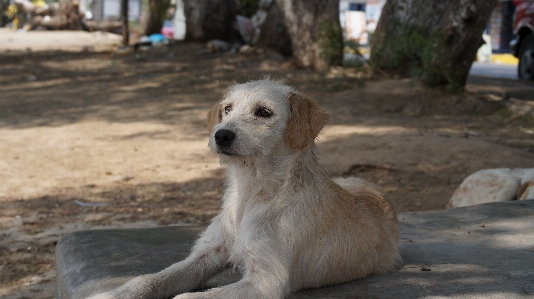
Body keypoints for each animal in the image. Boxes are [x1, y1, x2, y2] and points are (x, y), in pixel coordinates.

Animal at [88, 80, 400, 299]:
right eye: (227, 108)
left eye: (263, 112)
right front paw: (110, 293)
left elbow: (190, 297)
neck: (252, 192)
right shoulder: (206, 255)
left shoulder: (265, 282)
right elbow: (149, 279)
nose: (221, 135)